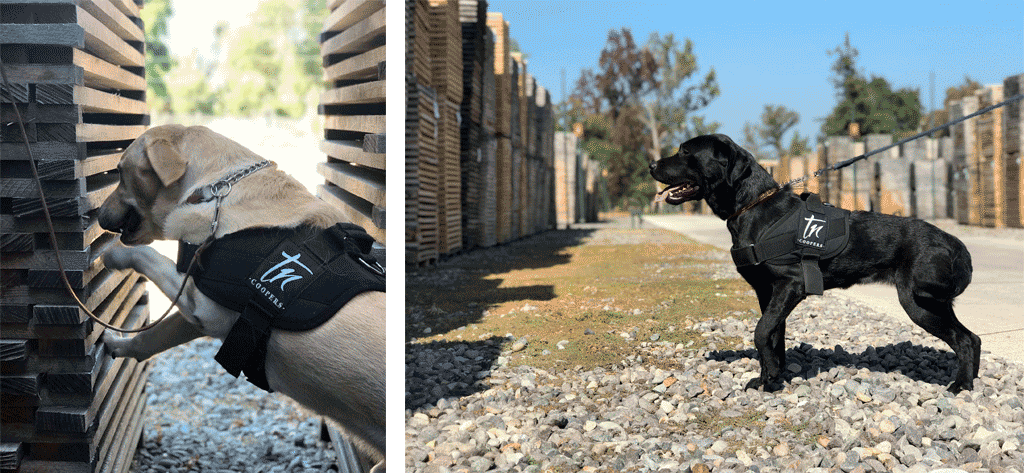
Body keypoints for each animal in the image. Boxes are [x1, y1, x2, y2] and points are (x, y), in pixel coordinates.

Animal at [96, 123, 385, 470]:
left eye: (119, 171)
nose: (97, 216)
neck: (216, 190)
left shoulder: (199, 301)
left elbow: (145, 254)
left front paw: (113, 255)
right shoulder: (199, 314)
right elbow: (150, 338)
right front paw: (119, 346)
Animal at [651, 133, 978, 391]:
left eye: (686, 152)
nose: (651, 165)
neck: (754, 207)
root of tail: (953, 242)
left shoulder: (791, 285)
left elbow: (760, 331)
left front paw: (771, 375)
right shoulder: (768, 293)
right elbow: (774, 337)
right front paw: (769, 379)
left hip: (919, 301)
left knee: (963, 340)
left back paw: (960, 385)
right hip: (932, 303)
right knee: (972, 338)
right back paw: (971, 380)